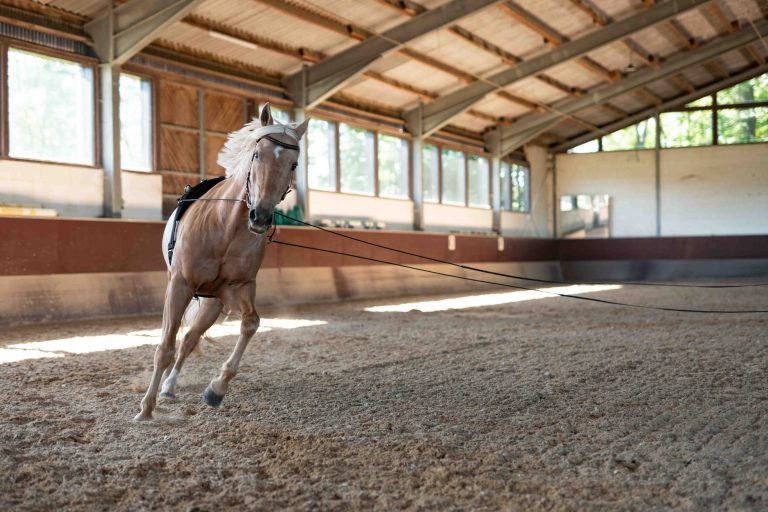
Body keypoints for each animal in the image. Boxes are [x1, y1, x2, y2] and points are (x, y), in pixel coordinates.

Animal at [133, 104, 309, 421]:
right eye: (257, 154)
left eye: (293, 165)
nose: (260, 217)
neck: (225, 227)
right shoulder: (179, 286)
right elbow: (164, 347)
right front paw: (145, 410)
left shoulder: (238, 288)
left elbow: (251, 323)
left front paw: (216, 388)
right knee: (178, 342)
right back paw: (163, 391)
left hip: (213, 302)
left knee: (189, 340)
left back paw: (170, 387)